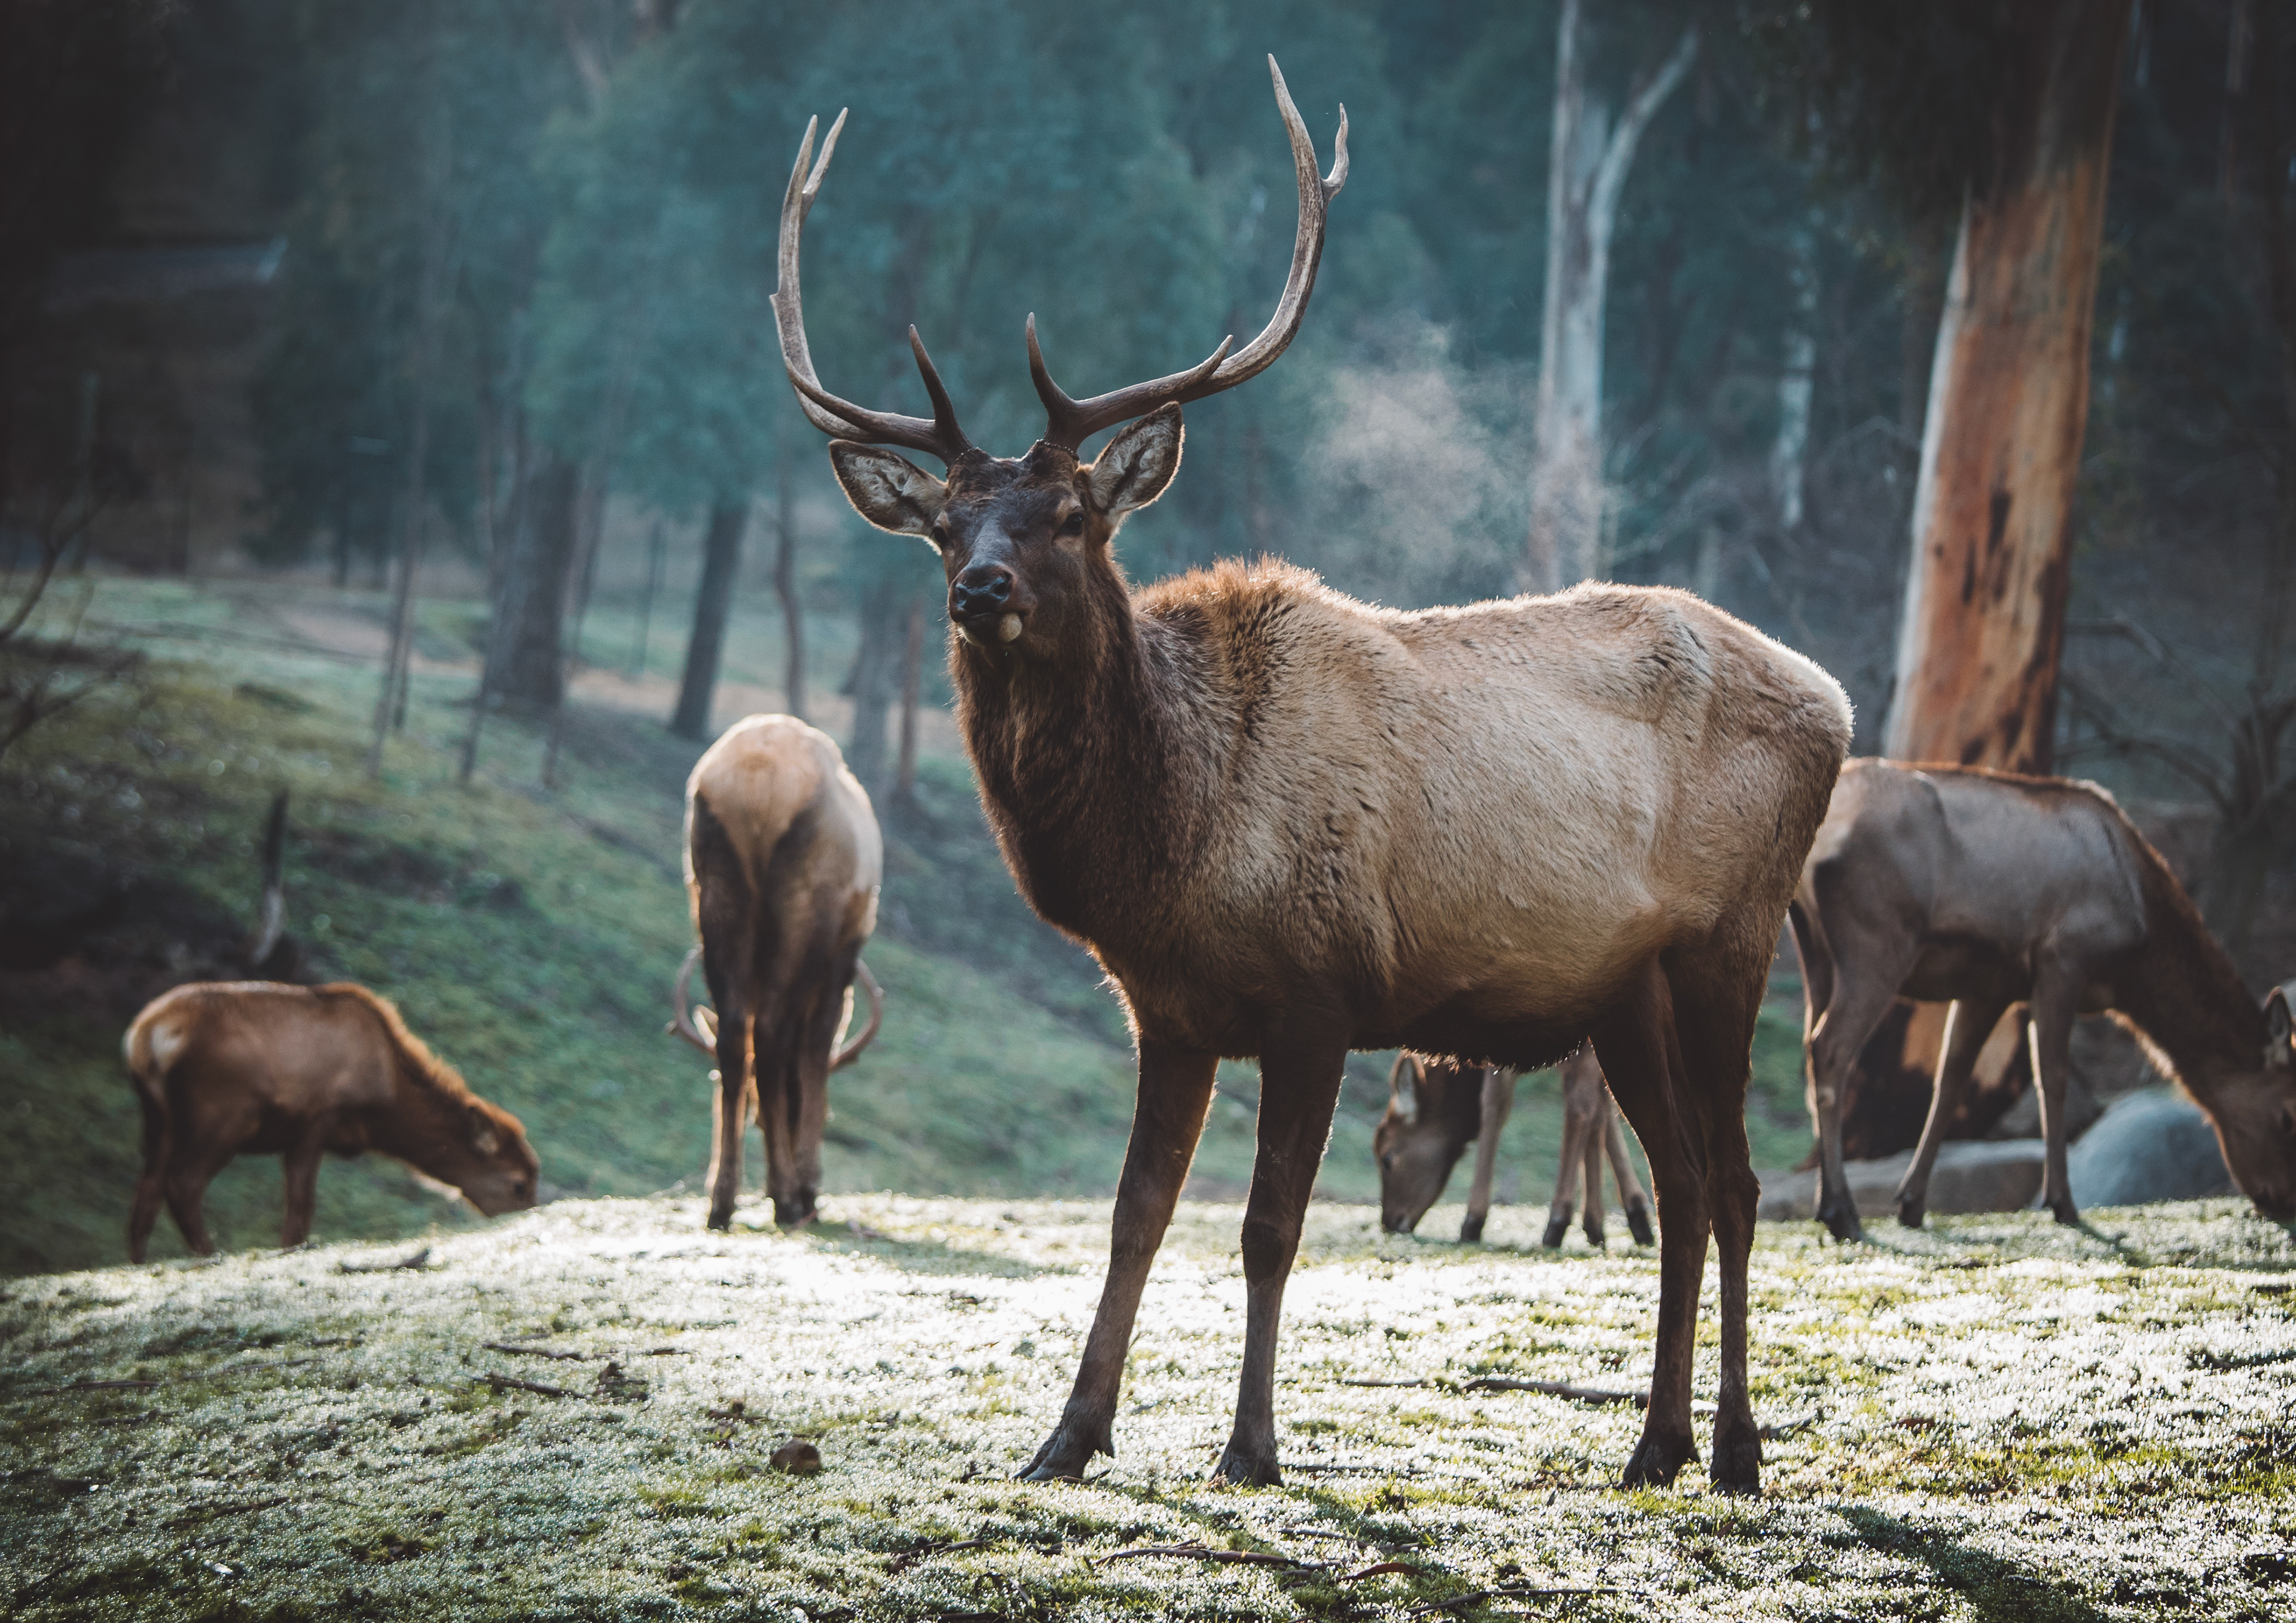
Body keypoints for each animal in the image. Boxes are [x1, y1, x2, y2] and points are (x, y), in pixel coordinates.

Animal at [122, 981, 538, 1261]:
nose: (529, 1219)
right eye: (518, 1184)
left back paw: (141, 1261)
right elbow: (301, 1202)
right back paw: (210, 1254)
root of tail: (144, 1037)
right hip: (224, 1115)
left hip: (158, 1119)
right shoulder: (319, 1116)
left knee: (147, 1192)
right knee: (183, 1184)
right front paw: (291, 1247)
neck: (386, 1104)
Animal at [676, 714, 883, 1231]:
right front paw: (808, 1184)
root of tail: (758, 781)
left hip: (716, 891)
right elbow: (814, 1053)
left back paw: (722, 1201)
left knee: (735, 1038)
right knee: (772, 1036)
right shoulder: (843, 952)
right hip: (806, 904)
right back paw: (787, 1196)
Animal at [1375, 1050, 1654, 1248]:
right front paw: (1628, 1215)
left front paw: (1474, 1220)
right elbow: (1605, 1106)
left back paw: (1556, 1223)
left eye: (1386, 1157)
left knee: (1580, 1104)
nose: (1389, 1222)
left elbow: (1492, 1104)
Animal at [1792, 758, 2296, 1241]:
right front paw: (2063, 1203)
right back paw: (1842, 1211)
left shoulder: (1987, 988)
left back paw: (1829, 1204)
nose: (2283, 1201)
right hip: (1878, 941)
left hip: (1816, 955)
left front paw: (1912, 1202)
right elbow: (2051, 1078)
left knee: (1811, 1045)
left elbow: (1951, 1078)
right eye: (2288, 1114)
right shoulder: (2063, 957)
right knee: (1830, 1048)